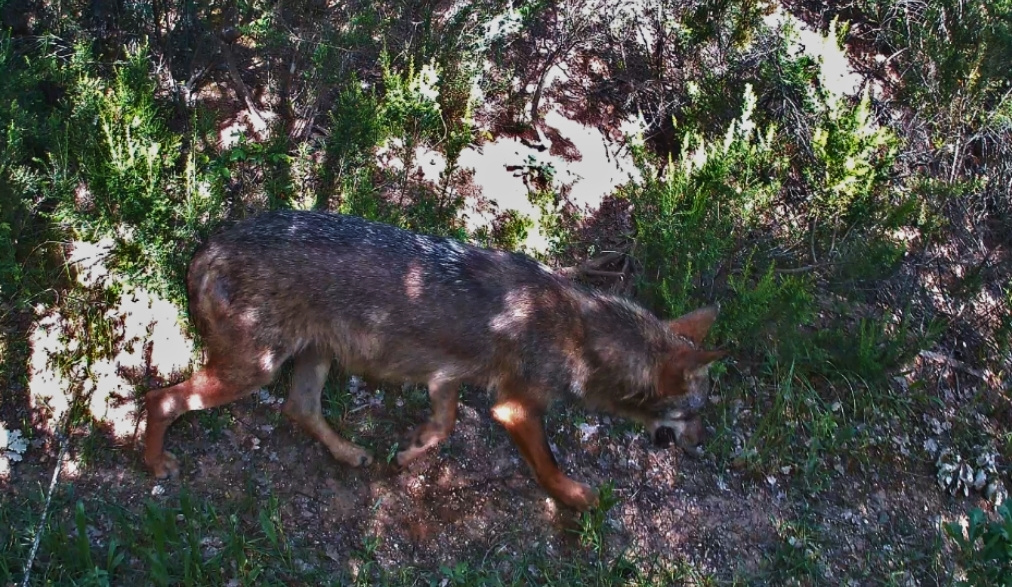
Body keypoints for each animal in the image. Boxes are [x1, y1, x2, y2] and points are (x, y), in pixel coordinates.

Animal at [143, 210, 725, 510]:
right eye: (693, 414)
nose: (704, 444)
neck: (583, 336)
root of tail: (208, 246)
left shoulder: (447, 377)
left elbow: (443, 426)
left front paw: (411, 451)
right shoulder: (514, 408)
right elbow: (549, 466)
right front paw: (580, 499)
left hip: (313, 359)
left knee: (298, 410)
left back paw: (352, 455)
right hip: (253, 370)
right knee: (159, 398)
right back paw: (155, 464)